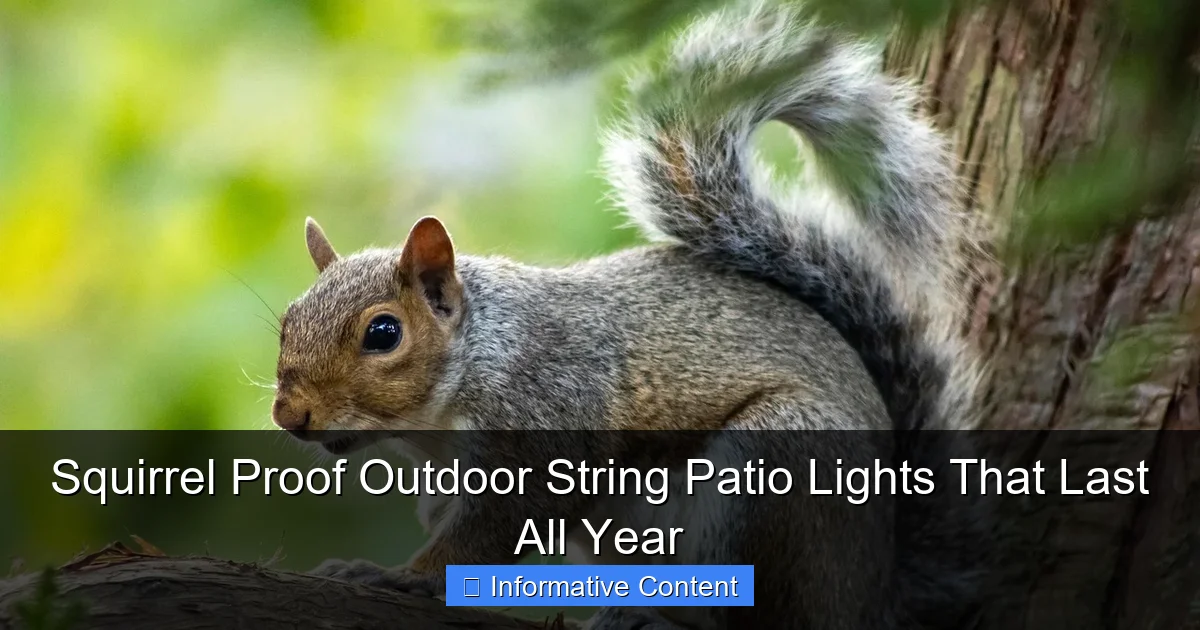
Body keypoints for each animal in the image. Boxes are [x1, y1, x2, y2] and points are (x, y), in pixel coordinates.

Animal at [271, 3, 984, 629]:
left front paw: (395, 576)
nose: (289, 415)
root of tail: (872, 595)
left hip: (776, 466)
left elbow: (481, 538)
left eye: (383, 333)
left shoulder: (549, 422)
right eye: (287, 321)